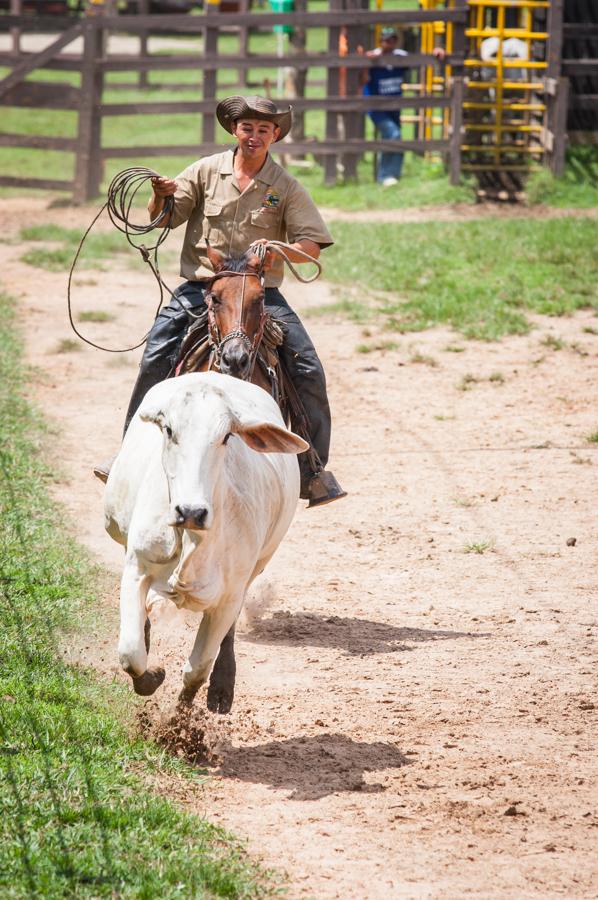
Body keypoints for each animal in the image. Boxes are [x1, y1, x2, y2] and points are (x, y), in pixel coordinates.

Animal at [103, 370, 308, 712]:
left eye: (226, 437)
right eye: (169, 430)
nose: (191, 511)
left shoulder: (230, 596)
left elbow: (197, 669)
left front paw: (180, 721)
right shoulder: (137, 567)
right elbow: (131, 654)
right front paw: (152, 676)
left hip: (256, 567)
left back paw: (223, 683)